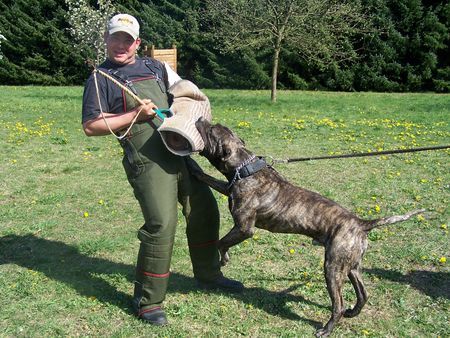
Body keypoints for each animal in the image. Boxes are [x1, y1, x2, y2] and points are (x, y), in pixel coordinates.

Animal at [187, 117, 426, 336]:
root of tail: (361, 223)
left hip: (333, 267)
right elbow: (210, 179)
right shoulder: (227, 189)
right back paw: (352, 312)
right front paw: (194, 170)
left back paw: (327, 329)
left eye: (211, 131)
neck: (245, 168)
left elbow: (221, 242)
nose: (200, 118)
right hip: (351, 266)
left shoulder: (244, 228)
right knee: (363, 294)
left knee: (338, 304)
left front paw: (224, 259)